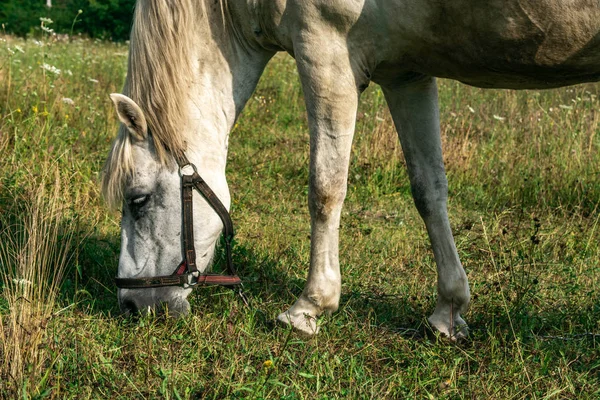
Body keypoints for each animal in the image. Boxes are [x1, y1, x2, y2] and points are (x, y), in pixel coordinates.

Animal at [104, 0, 600, 338]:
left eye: (138, 199)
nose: (130, 304)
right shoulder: (407, 75)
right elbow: (429, 189)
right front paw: (448, 310)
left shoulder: (325, 53)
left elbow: (325, 188)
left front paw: (309, 307)